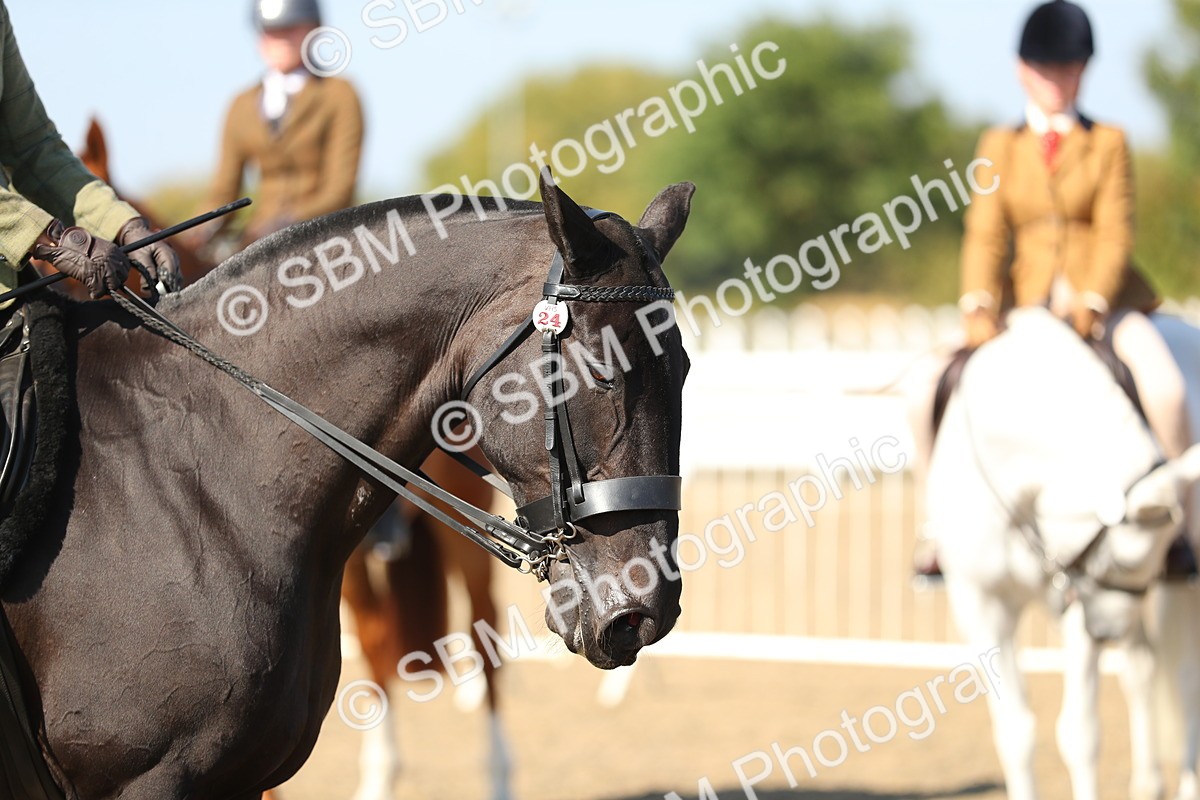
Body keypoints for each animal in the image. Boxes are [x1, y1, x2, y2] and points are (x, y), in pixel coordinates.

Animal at [926, 306, 1200, 800]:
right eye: (1115, 562)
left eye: (1148, 564)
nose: (1106, 633)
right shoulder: (981, 604)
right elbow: (1015, 732)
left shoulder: (1080, 602)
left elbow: (1080, 734)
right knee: (1143, 671)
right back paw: (1147, 783)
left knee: (1185, 679)